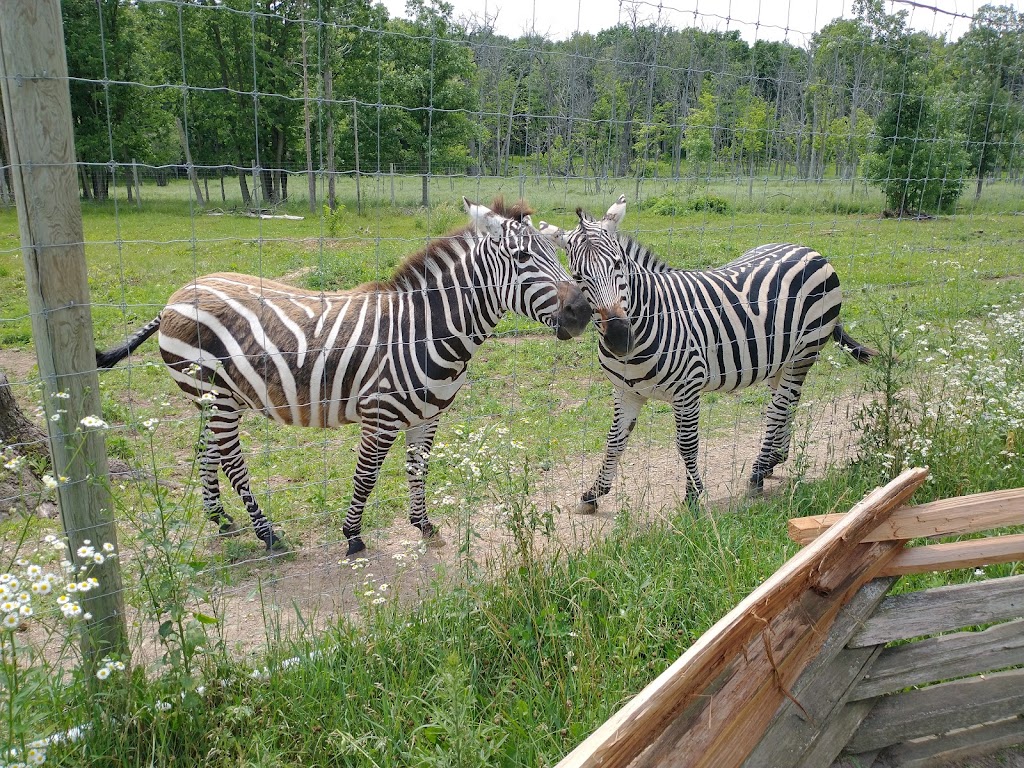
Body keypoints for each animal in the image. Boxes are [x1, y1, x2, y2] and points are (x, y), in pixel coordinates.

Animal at [97, 196, 593, 561]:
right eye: (522, 257)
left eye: (558, 254)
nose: (583, 313)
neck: (423, 329)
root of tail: (177, 295)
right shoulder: (380, 415)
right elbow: (367, 476)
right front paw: (352, 536)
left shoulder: (427, 416)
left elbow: (418, 470)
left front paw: (424, 525)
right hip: (216, 395)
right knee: (232, 461)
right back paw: (267, 533)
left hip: (211, 399)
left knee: (205, 451)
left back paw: (220, 519)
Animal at [540, 195, 876, 514]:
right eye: (578, 276)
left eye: (619, 265)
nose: (620, 337)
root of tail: (807, 249)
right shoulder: (626, 391)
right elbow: (613, 442)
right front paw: (594, 493)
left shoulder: (687, 389)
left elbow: (687, 444)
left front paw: (692, 498)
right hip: (780, 357)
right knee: (786, 402)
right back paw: (773, 460)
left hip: (803, 351)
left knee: (780, 407)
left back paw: (758, 471)